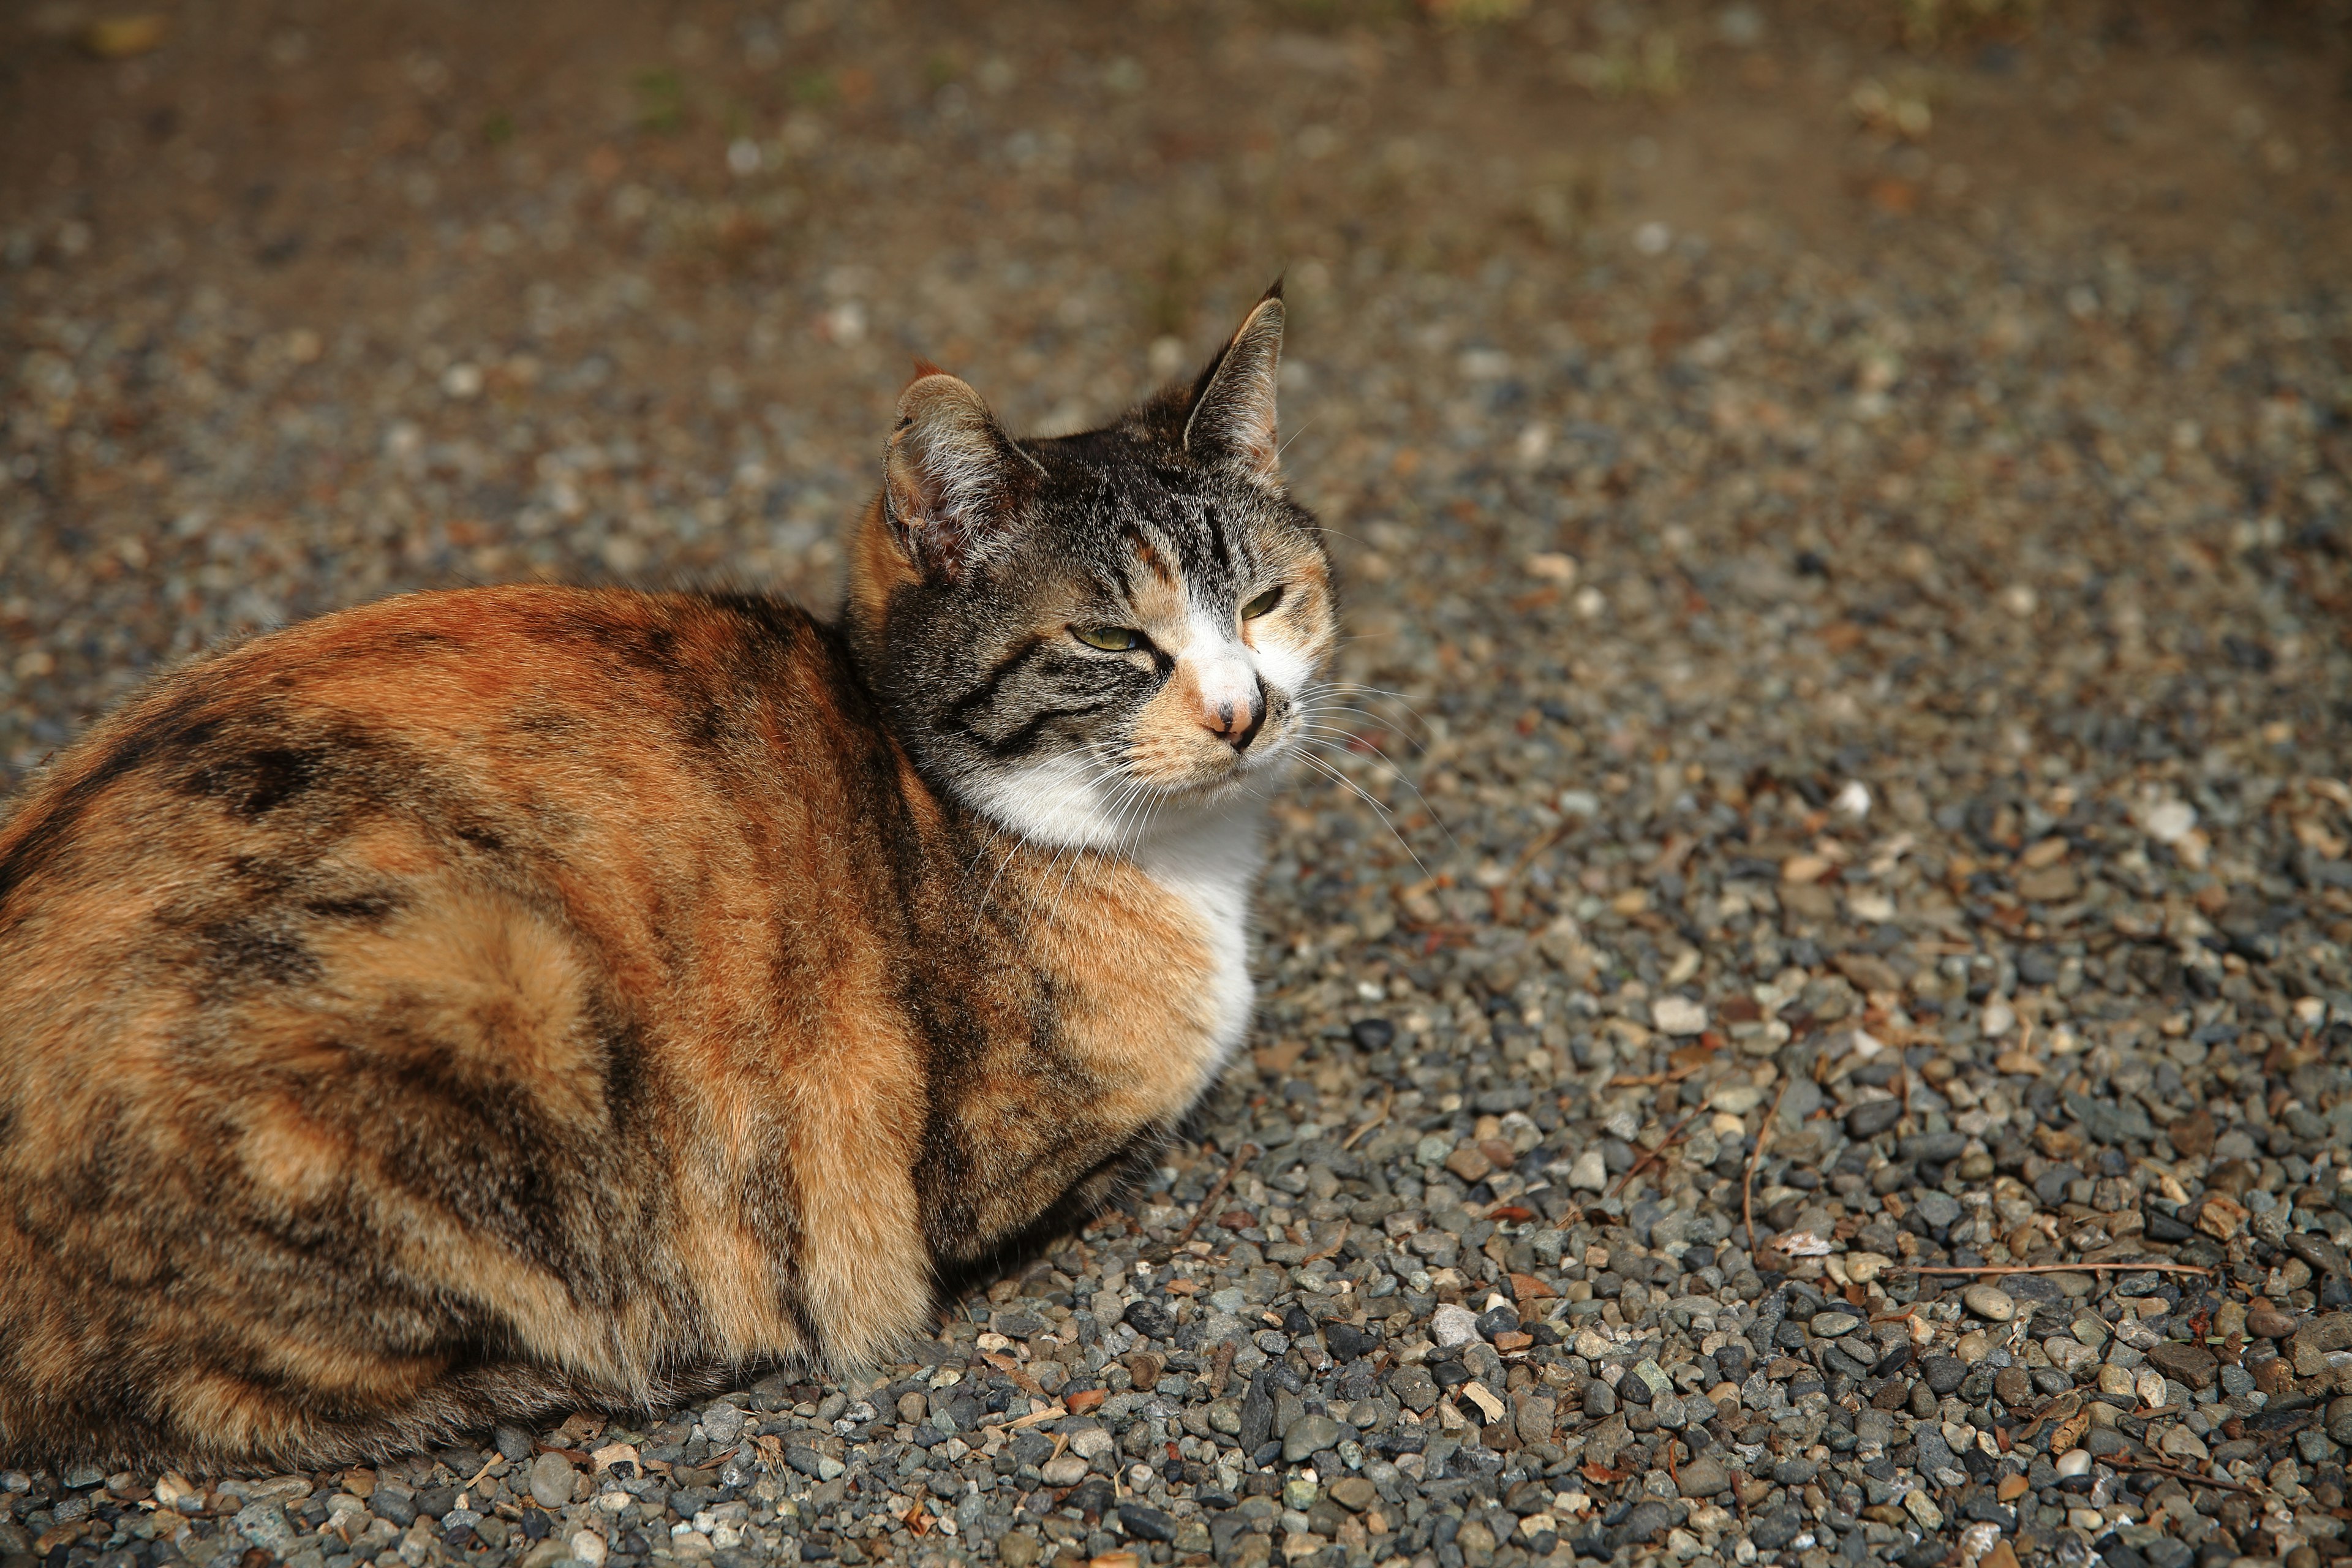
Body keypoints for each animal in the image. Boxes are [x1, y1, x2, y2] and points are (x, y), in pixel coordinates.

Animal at [0, 282, 1336, 1476]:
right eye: (1110, 639)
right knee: (241, 1398)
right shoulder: (987, 1175)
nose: (1243, 712)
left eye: (1269, 600)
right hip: (479, 983)